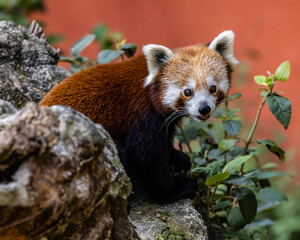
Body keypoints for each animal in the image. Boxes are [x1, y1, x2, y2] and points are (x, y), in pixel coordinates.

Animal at [38, 30, 239, 202]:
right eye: (187, 92)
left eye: (212, 88)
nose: (204, 109)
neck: (151, 88)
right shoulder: (141, 115)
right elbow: (146, 157)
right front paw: (174, 189)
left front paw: (178, 158)